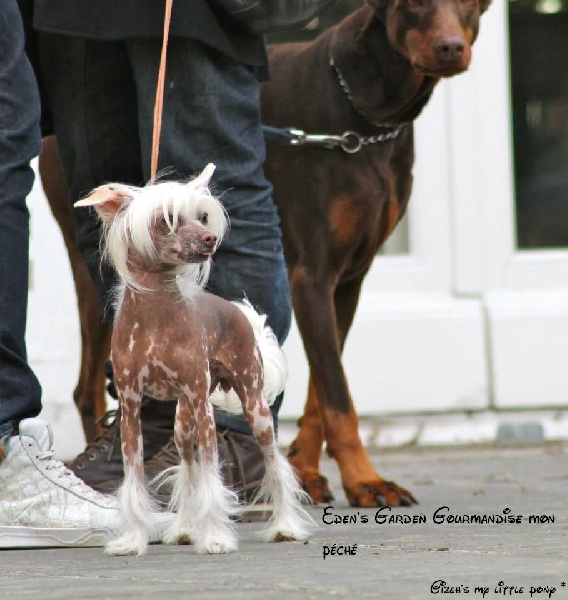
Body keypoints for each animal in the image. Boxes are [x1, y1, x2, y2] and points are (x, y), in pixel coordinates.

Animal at [260, 0, 490, 508]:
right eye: (415, 4)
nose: (450, 47)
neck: (365, 121)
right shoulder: (311, 276)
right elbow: (338, 396)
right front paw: (366, 481)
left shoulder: (346, 281)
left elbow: (322, 389)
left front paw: (307, 473)